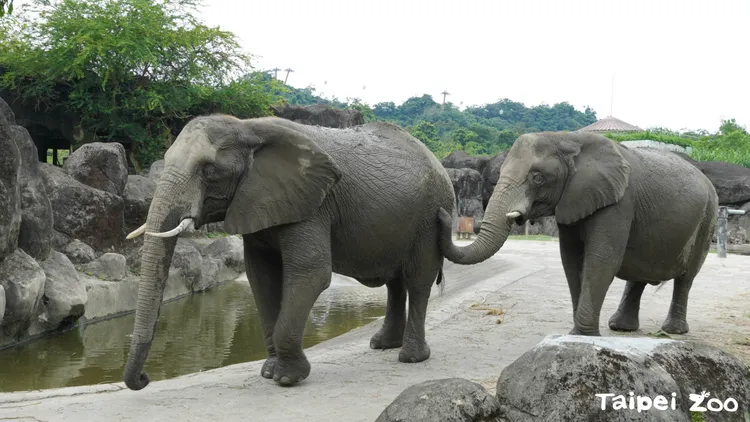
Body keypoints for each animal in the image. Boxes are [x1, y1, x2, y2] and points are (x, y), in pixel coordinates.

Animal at [123, 114, 455, 390]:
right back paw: (382, 345)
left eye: (210, 170)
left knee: (418, 281)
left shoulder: (312, 204)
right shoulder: (259, 201)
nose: (145, 378)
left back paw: (411, 357)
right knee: (395, 283)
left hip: (431, 217)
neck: (247, 127)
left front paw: (287, 379)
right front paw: (270, 372)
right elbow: (261, 276)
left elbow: (311, 273)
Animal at [438, 131, 718, 336]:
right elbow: (572, 259)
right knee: (640, 272)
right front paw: (576, 334)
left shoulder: (618, 203)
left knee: (686, 278)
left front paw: (584, 335)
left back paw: (673, 331)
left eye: (537, 178)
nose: (441, 213)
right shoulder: (572, 200)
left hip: (708, 217)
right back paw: (620, 327)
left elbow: (601, 259)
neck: (569, 139)